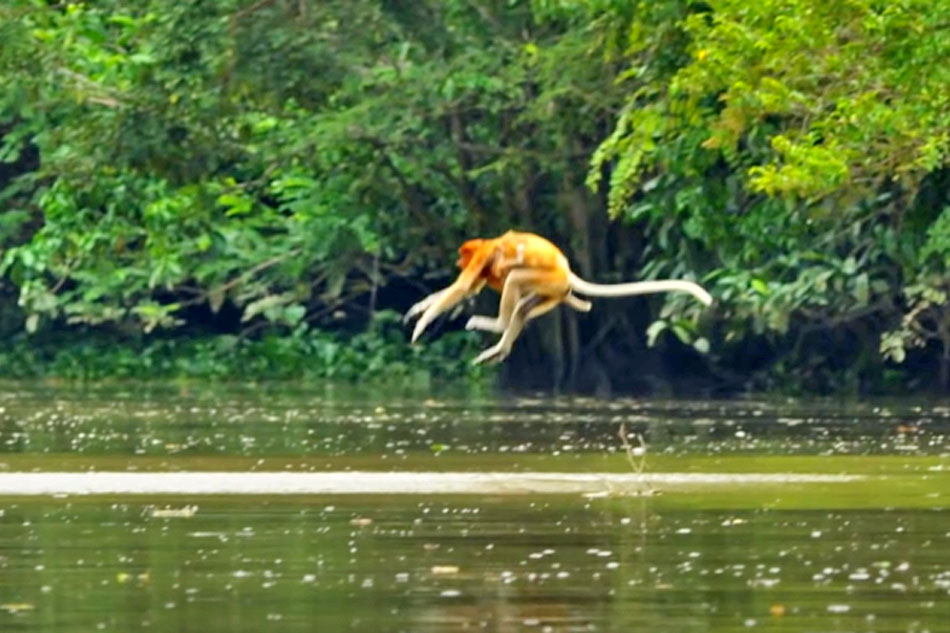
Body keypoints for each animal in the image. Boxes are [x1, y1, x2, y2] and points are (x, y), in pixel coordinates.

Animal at [404, 230, 712, 362]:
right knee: (524, 307)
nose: (458, 262)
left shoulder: (482, 256)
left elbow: (464, 287)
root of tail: (566, 270)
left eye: (462, 255)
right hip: (552, 291)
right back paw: (499, 349)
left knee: (514, 279)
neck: (488, 244)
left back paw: (497, 324)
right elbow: (467, 288)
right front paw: (416, 309)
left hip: (548, 279)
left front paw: (420, 325)